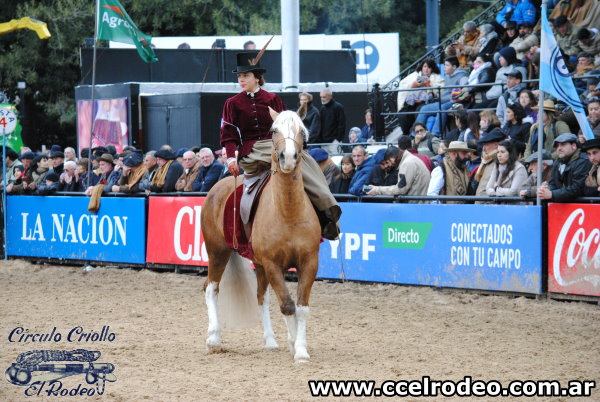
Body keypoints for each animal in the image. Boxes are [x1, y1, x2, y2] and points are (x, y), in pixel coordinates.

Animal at [200, 109, 324, 362]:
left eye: (302, 130)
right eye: (274, 130)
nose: (289, 157)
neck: (288, 212)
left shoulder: (309, 262)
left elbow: (301, 307)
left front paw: (300, 349)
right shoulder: (272, 263)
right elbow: (287, 305)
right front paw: (294, 344)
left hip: (257, 264)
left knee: (261, 297)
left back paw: (270, 341)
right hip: (217, 252)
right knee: (211, 288)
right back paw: (213, 339)